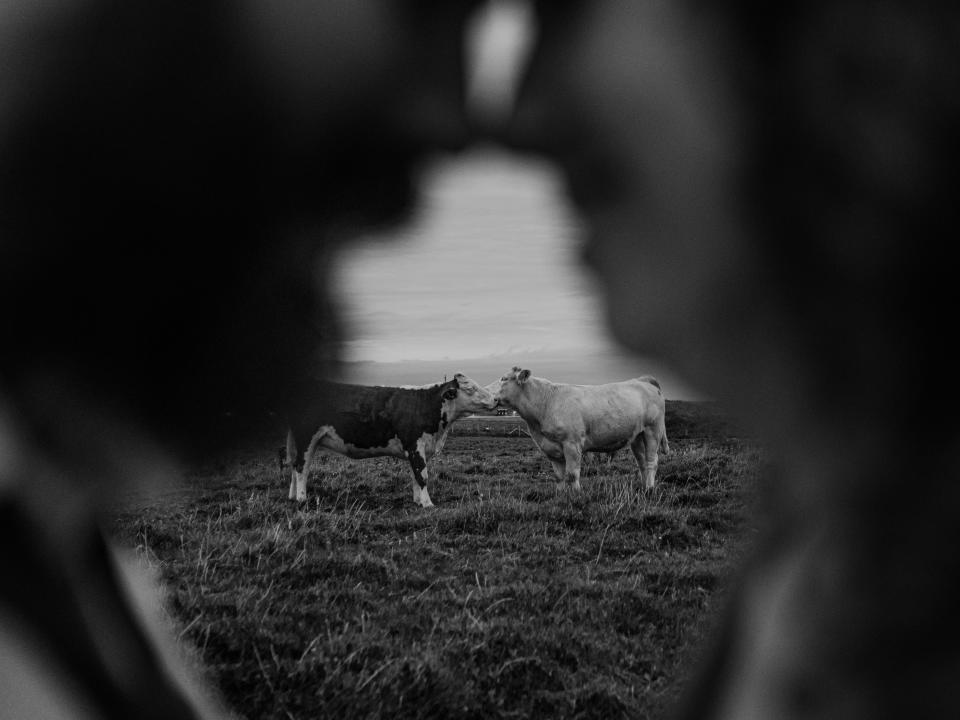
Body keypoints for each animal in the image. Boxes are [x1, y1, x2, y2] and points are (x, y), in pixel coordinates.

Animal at [284, 374, 496, 510]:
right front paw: (428, 504)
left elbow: (415, 475)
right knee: (302, 467)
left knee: (294, 466)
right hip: (306, 437)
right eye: (470, 388)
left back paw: (292, 497)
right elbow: (422, 475)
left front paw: (418, 501)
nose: (495, 399)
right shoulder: (415, 445)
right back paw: (302, 499)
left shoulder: (416, 449)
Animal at [488, 368, 668, 492]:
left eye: (504, 378)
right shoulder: (550, 447)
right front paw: (560, 495)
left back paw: (650, 489)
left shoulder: (572, 443)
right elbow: (559, 476)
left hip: (653, 430)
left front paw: (576, 495)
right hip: (637, 436)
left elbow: (572, 474)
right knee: (642, 462)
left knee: (652, 461)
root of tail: (642, 380)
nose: (485, 391)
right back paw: (643, 487)